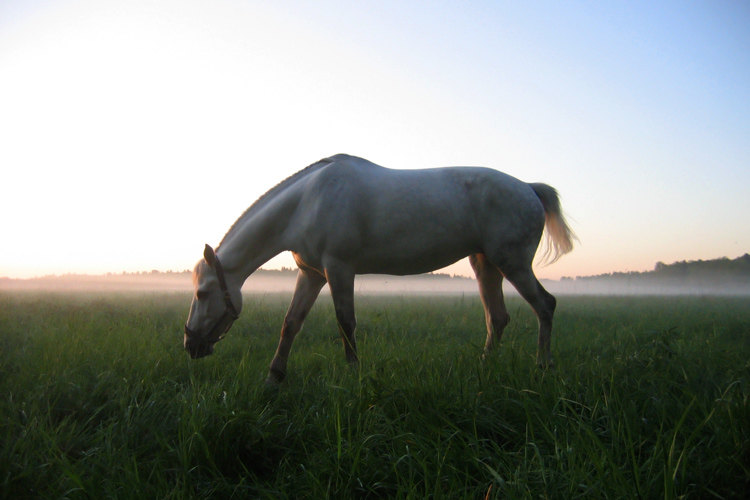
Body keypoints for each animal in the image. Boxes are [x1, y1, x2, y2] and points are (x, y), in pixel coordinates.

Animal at [182, 154, 576, 384]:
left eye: (202, 293)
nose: (189, 344)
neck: (307, 202)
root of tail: (528, 188)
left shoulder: (339, 269)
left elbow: (345, 322)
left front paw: (353, 375)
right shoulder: (312, 274)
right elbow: (291, 323)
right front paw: (274, 377)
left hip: (513, 264)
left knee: (545, 305)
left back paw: (543, 366)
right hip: (485, 264)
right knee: (497, 317)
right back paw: (484, 367)